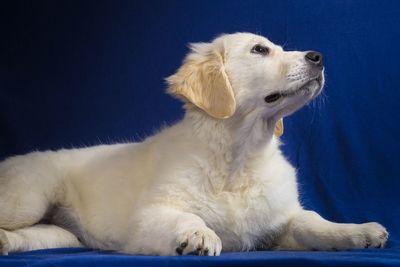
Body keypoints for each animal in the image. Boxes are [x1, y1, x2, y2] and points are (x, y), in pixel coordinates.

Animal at [0, 32, 388, 256]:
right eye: (260, 50)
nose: (318, 57)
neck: (239, 157)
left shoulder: (279, 220)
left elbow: (311, 220)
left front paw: (356, 232)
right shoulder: (146, 217)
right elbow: (186, 215)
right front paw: (199, 235)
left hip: (61, 234)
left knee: (35, 236)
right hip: (29, 198)